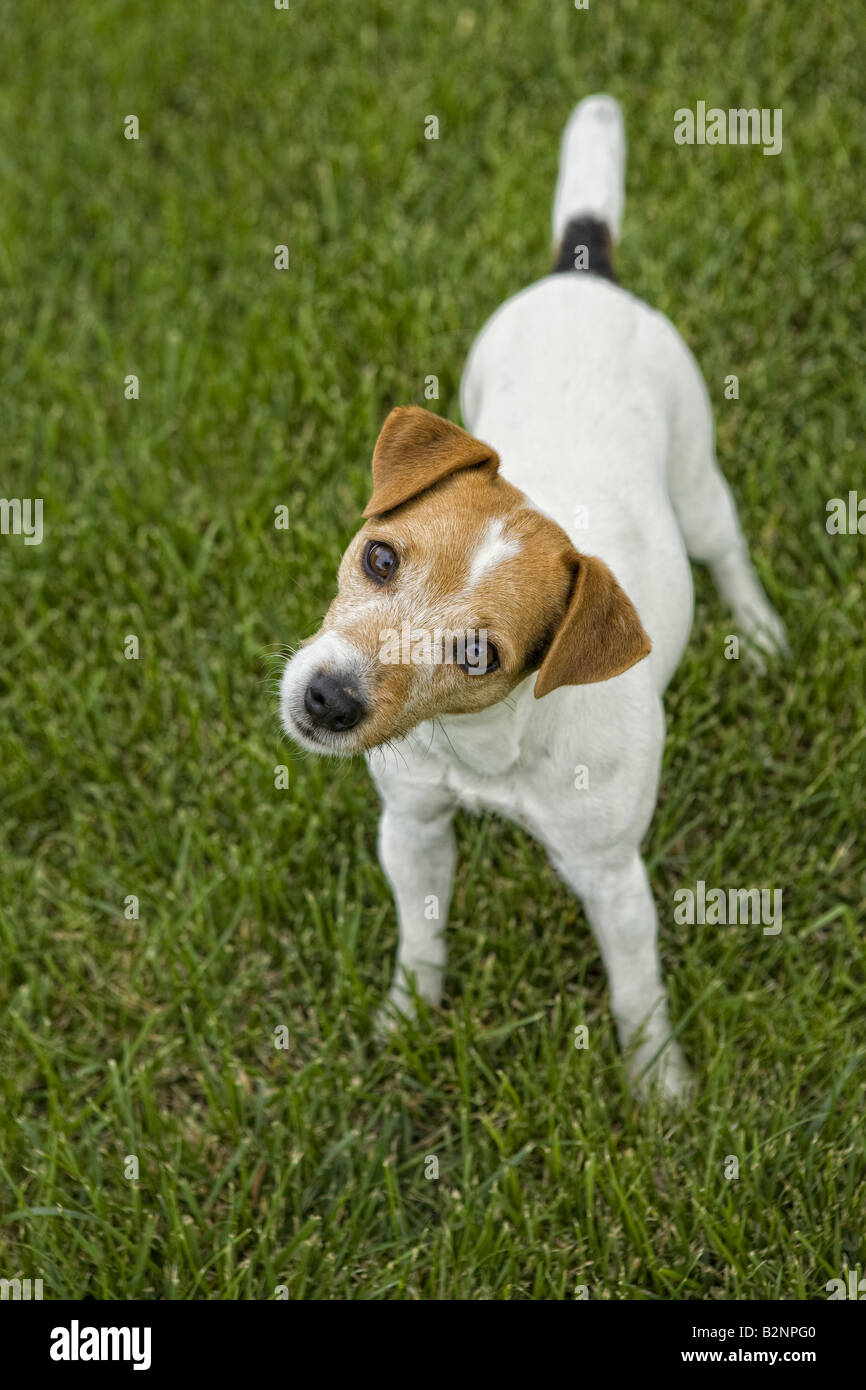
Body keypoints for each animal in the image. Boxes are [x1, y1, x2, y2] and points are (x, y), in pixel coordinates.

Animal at [280, 92, 789, 1100]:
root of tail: (582, 270)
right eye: (380, 559)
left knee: (727, 547)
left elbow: (637, 992)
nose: (326, 701)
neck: (486, 746)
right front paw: (405, 1021)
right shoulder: (414, 826)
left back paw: (757, 631)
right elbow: (421, 937)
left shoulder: (613, 876)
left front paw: (660, 1089)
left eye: (480, 654)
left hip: (698, 481)